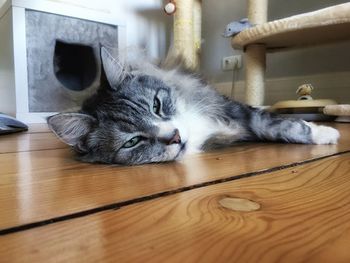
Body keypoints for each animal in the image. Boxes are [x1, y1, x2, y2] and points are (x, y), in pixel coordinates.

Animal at [46, 47, 340, 165]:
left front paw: (324, 133)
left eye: (156, 105)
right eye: (132, 142)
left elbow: (275, 124)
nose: (175, 137)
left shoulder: (232, 108)